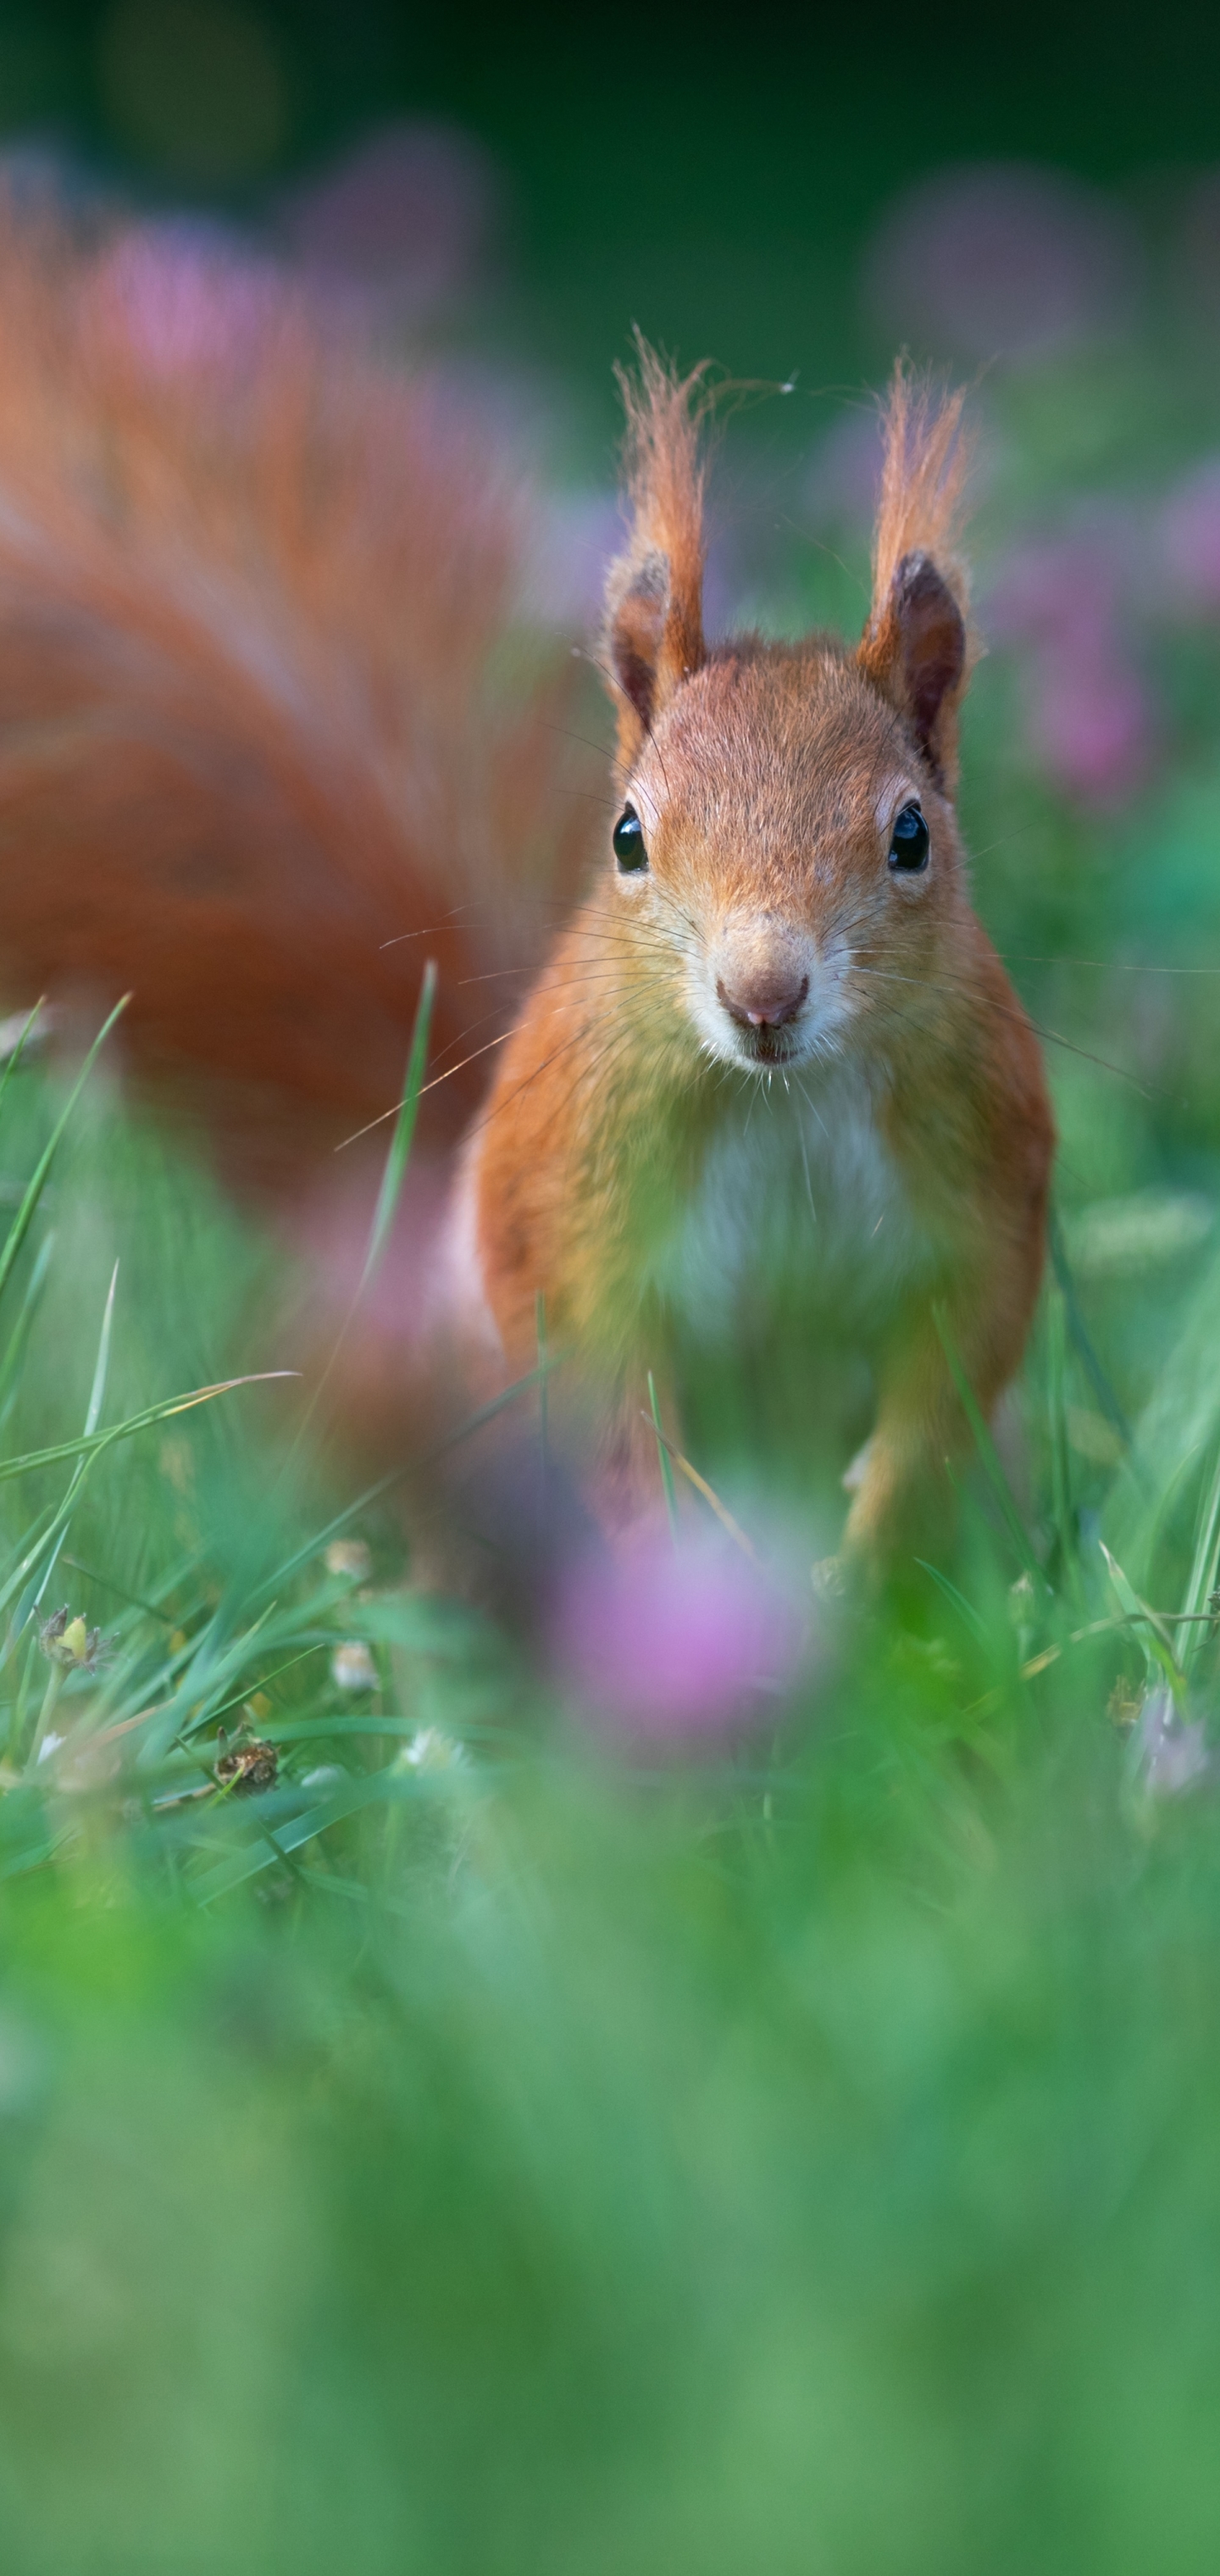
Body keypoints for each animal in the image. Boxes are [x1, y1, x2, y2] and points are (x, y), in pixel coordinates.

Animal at [442, 350, 1055, 1556]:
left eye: (911, 835)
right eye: (626, 837)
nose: (762, 993)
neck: (783, 1097)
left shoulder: (984, 1172)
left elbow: (957, 1363)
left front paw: (864, 1551)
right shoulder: (566, 1186)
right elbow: (597, 1386)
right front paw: (695, 1545)